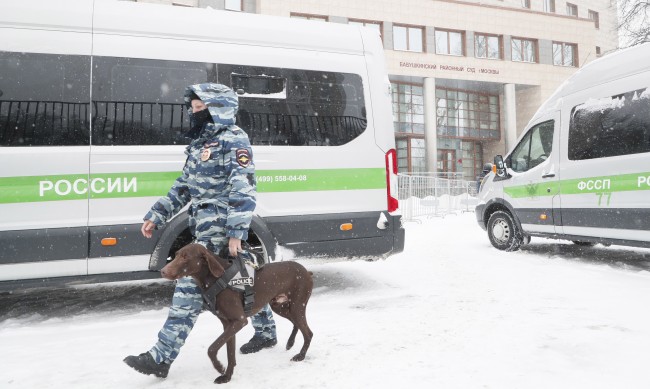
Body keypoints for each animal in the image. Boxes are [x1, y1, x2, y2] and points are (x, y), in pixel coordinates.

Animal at [161, 244, 314, 384]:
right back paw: (290, 343)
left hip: (297, 306)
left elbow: (212, 348)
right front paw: (227, 377)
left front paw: (219, 367)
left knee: (308, 332)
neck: (216, 279)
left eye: (185, 257)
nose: (162, 271)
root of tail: (307, 272)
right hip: (279, 306)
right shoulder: (228, 324)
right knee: (296, 324)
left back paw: (300, 356)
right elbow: (230, 353)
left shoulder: (239, 321)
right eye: (176, 255)